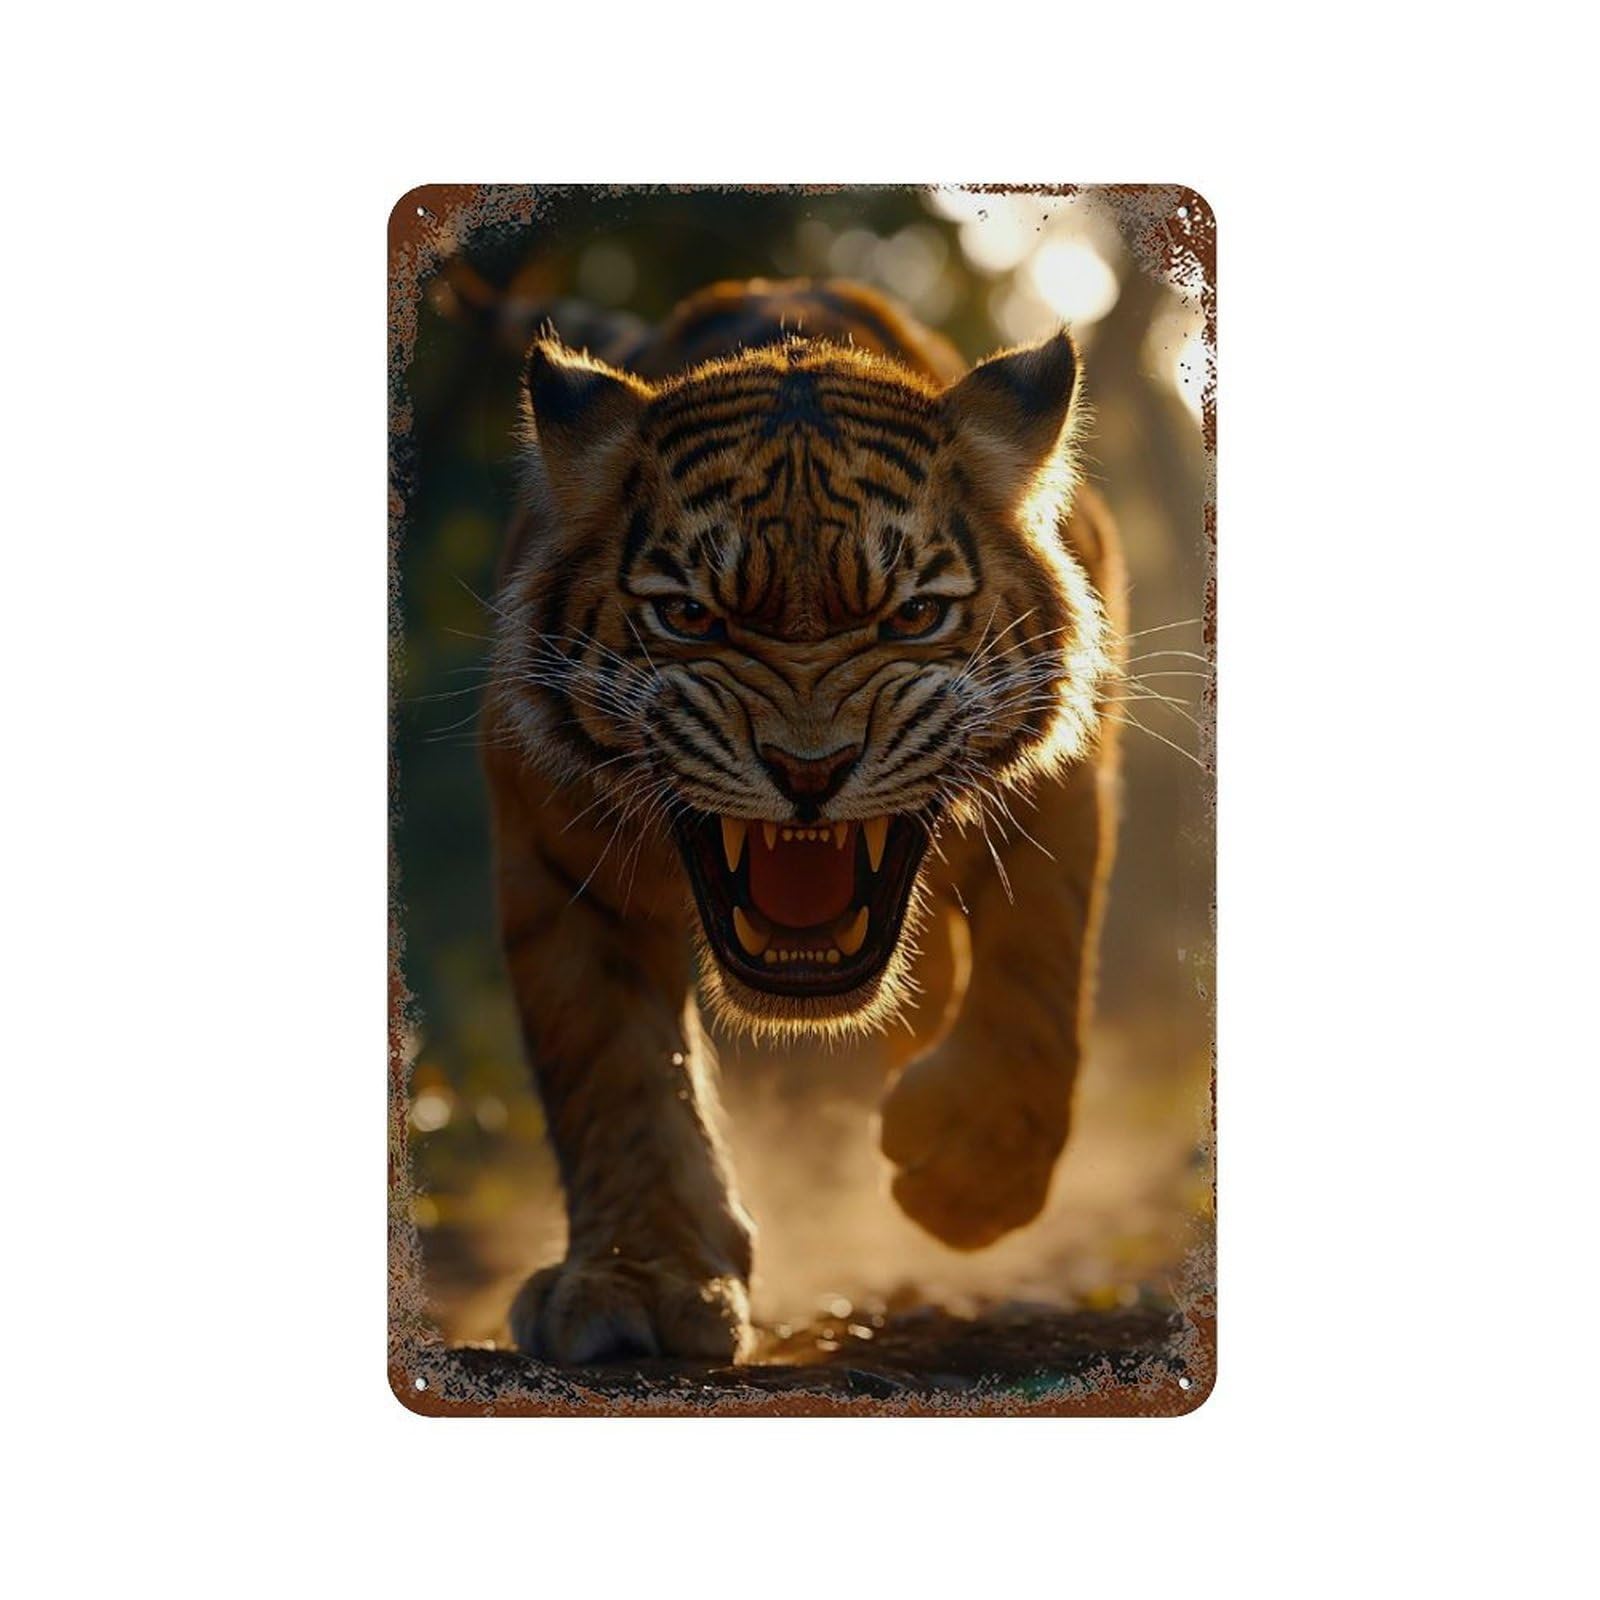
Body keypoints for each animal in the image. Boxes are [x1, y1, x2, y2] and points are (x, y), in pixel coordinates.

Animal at [482, 278, 1126, 1364]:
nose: (808, 770)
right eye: (690, 618)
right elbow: (615, 1070)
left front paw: (973, 1173)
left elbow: (1036, 975)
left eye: (912, 616)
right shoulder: (552, 839)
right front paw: (637, 1276)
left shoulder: (1061, 779)